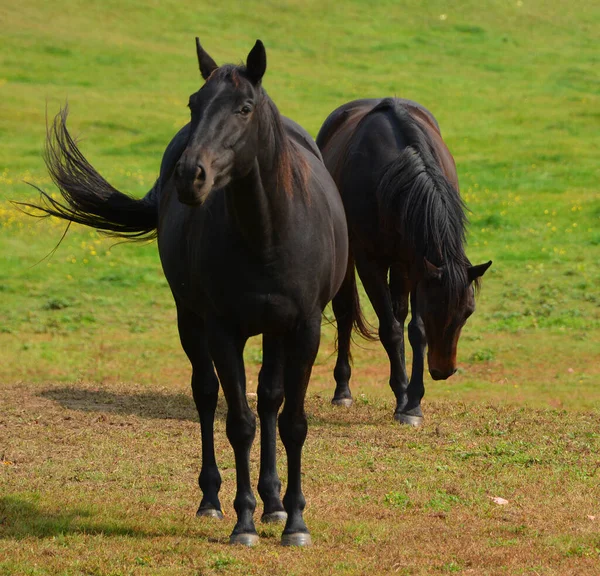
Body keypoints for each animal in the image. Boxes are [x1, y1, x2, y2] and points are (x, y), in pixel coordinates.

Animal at [25, 39, 350, 544]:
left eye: (244, 108)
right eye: (194, 104)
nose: (189, 175)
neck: (269, 235)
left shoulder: (304, 328)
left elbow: (292, 422)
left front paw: (295, 520)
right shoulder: (221, 331)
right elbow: (238, 422)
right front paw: (243, 522)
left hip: (274, 331)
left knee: (270, 399)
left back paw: (274, 502)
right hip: (189, 321)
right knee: (206, 394)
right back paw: (212, 500)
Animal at [316, 98, 490, 424]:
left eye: (468, 312)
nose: (444, 370)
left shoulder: (415, 265)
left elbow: (415, 331)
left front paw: (412, 402)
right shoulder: (369, 262)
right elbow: (391, 330)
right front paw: (402, 394)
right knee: (345, 314)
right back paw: (343, 390)